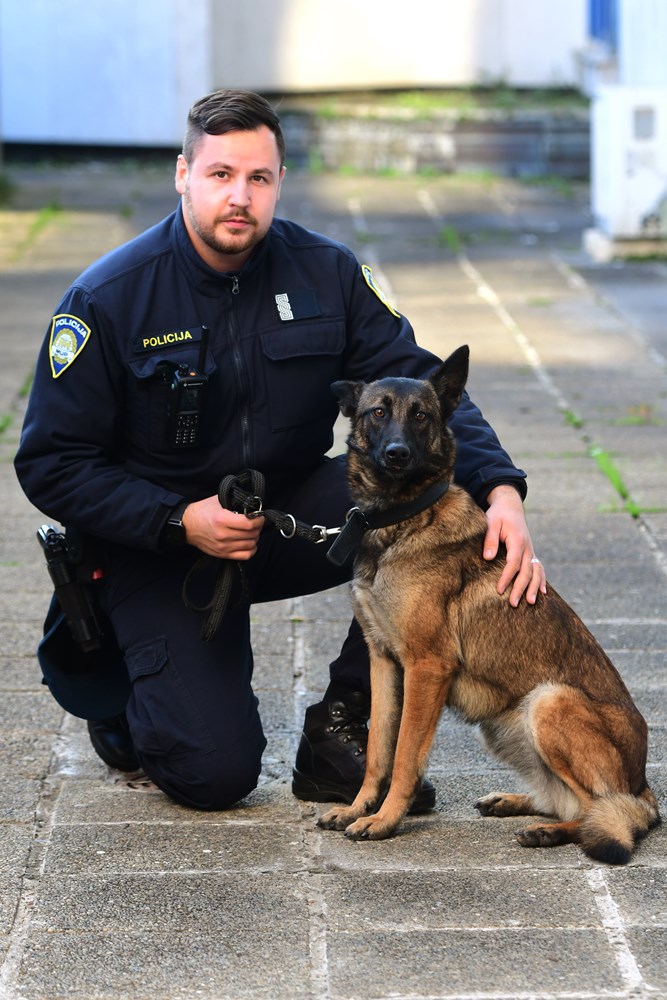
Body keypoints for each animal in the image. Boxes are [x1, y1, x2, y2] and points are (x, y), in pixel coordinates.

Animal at [318, 345, 660, 864]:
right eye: (378, 412)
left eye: (421, 415)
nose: (397, 454)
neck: (403, 517)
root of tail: (644, 786)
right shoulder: (384, 663)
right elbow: (378, 747)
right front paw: (358, 807)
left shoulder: (426, 667)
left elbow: (404, 755)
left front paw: (384, 820)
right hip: (502, 725)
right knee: (570, 800)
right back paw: (518, 803)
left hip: (549, 702)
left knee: (604, 809)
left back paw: (550, 831)